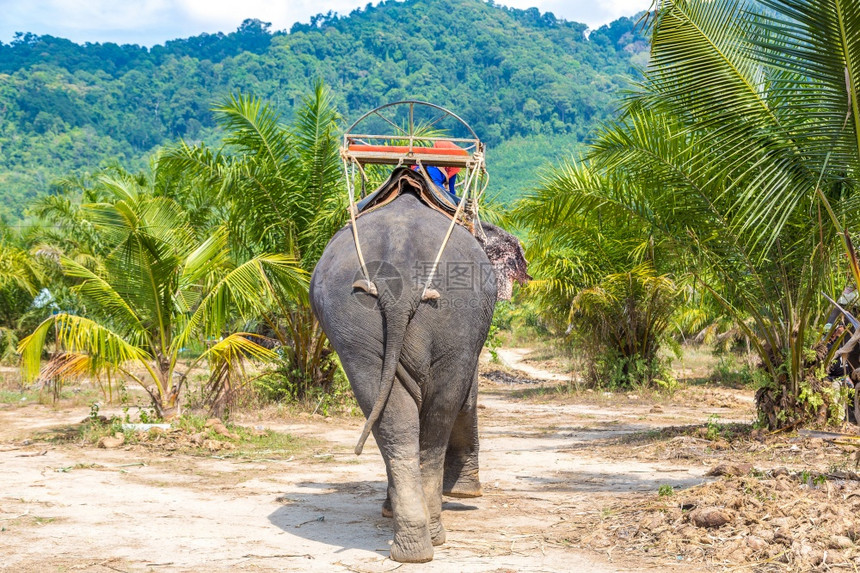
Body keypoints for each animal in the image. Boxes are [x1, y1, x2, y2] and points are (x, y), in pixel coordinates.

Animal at [308, 182, 524, 560]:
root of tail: (401, 274)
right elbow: (468, 396)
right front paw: (467, 493)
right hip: (455, 315)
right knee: (440, 413)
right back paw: (431, 536)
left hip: (351, 318)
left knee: (390, 415)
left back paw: (412, 545)